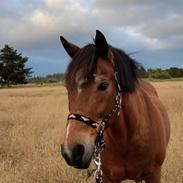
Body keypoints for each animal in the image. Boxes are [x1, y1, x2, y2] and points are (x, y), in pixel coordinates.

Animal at [60, 30, 170, 183]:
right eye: (67, 87)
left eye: (103, 85)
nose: (72, 152)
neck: (127, 140)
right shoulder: (107, 177)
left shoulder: (154, 174)